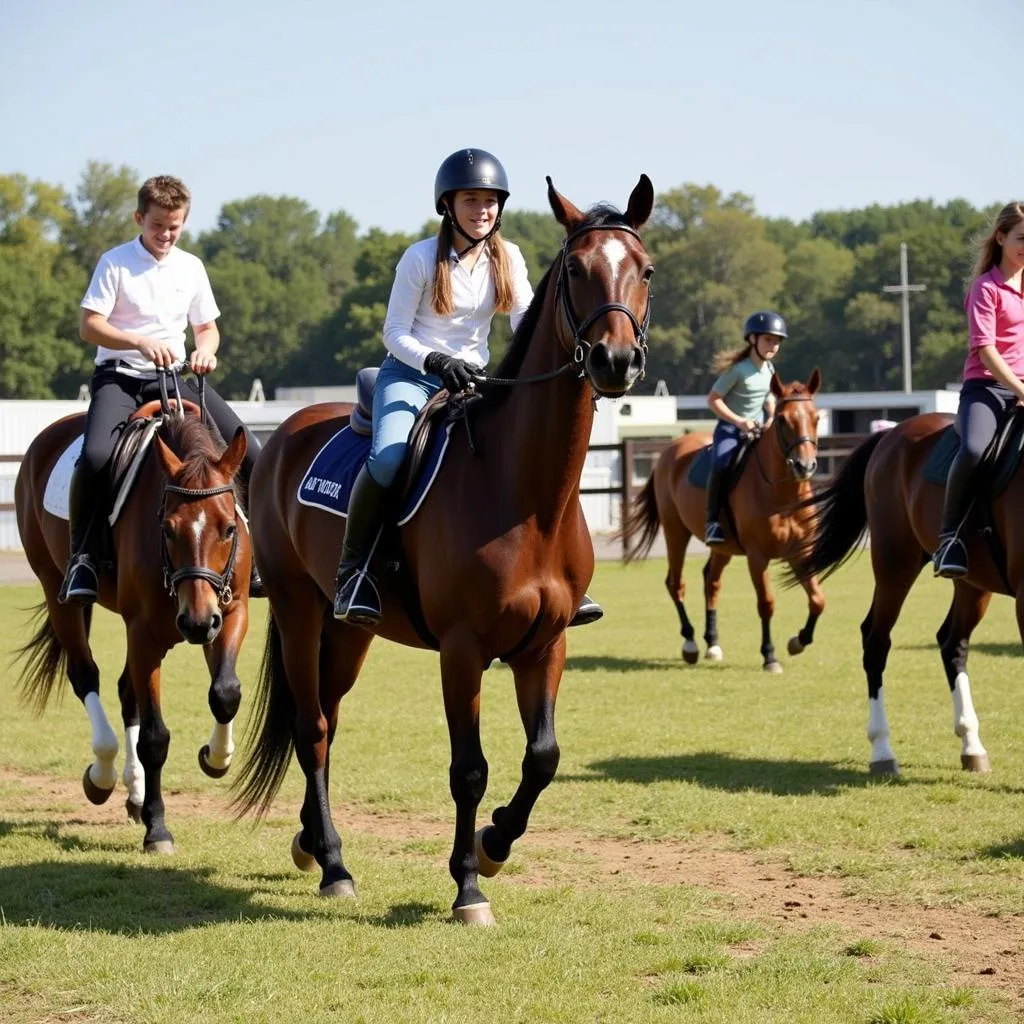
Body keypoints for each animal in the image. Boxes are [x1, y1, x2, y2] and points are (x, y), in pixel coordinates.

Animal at [14, 380, 252, 851]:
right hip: (57, 592)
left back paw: (134, 793)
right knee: (86, 676)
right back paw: (103, 775)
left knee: (127, 692)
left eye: (229, 528)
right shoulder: (143, 632)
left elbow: (225, 692)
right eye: (168, 528)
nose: (196, 623)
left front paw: (216, 757)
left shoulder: (231, 610)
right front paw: (158, 828)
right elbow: (155, 737)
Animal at [232, 176, 651, 929]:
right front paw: (469, 887)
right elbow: (470, 769)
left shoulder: (546, 646)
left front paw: (494, 844)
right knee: (311, 727)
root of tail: (282, 436)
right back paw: (333, 863)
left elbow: (543, 756)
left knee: (329, 718)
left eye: (647, 270)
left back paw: (311, 842)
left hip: (348, 630)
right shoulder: (462, 650)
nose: (616, 360)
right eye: (577, 270)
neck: (525, 493)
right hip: (298, 609)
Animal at [614, 368, 823, 671]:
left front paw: (798, 641)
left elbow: (818, 600)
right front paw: (770, 656)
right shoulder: (757, 557)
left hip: (722, 546)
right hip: (675, 533)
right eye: (783, 420)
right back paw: (690, 643)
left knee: (711, 581)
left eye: (816, 417)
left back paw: (712, 643)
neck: (781, 495)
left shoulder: (801, 551)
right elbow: (766, 603)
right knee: (676, 584)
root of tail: (671, 449)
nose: (804, 466)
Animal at [786, 411, 1011, 770]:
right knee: (876, 639)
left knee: (953, 643)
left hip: (973, 582)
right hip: (895, 564)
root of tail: (894, 432)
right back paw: (882, 750)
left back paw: (972, 745)